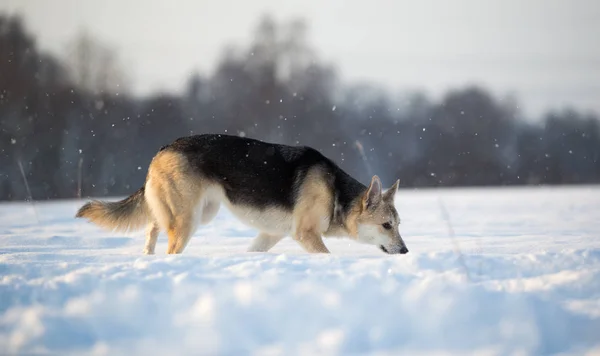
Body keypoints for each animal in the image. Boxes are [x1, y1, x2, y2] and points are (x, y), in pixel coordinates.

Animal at [76, 134, 408, 253]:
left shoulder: (270, 235)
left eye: (398, 225)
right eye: (386, 225)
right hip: (188, 221)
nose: (405, 251)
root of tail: (164, 148)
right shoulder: (306, 235)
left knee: (153, 225)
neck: (336, 194)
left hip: (199, 213)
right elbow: (325, 255)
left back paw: (147, 257)